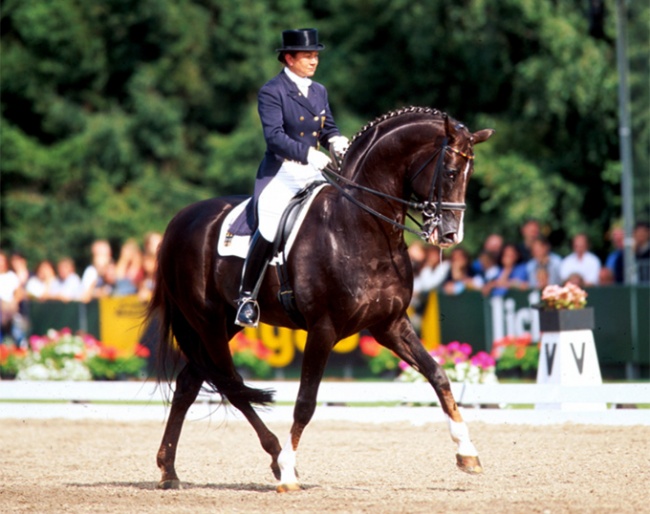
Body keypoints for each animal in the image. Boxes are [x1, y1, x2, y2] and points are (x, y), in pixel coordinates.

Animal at [147, 106, 492, 490]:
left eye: (470, 173)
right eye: (449, 171)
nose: (450, 235)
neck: (360, 226)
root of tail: (179, 220)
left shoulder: (389, 324)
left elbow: (437, 374)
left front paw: (467, 453)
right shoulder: (323, 329)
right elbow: (305, 402)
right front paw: (288, 473)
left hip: (225, 324)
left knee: (190, 383)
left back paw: (169, 471)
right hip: (206, 322)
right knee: (229, 384)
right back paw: (275, 459)